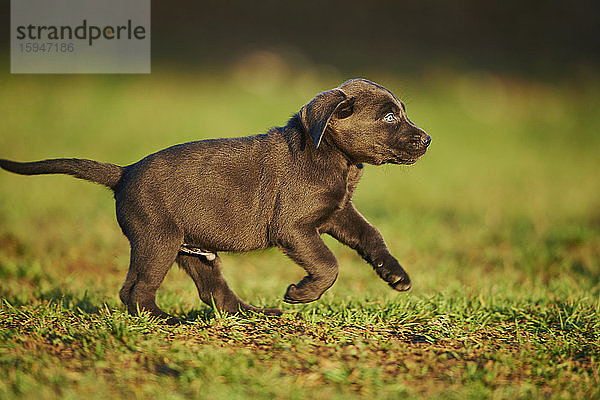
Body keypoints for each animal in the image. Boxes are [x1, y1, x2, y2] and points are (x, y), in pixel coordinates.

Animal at [0, 79, 432, 324]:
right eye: (389, 118)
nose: (428, 139)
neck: (335, 158)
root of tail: (123, 172)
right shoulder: (294, 228)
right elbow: (328, 264)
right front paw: (302, 293)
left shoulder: (338, 215)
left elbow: (372, 237)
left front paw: (395, 275)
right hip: (158, 241)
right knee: (134, 290)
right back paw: (167, 321)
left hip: (196, 252)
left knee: (217, 296)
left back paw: (256, 315)